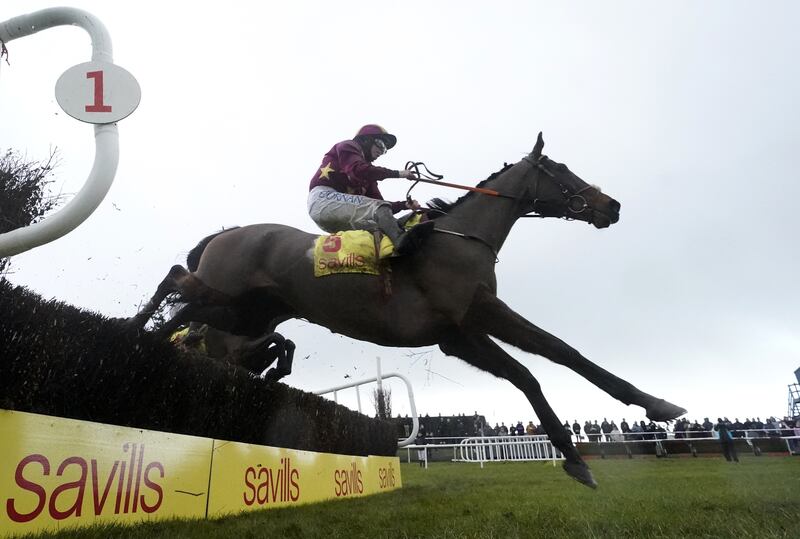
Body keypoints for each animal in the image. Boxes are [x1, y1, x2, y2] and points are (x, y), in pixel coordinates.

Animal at [131, 133, 688, 488]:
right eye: (562, 170)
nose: (611, 206)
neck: (460, 238)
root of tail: (225, 233)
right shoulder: (461, 328)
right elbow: (535, 370)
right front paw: (579, 459)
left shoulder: (477, 317)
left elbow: (558, 354)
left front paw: (656, 406)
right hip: (224, 295)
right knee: (176, 286)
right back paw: (135, 330)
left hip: (246, 313)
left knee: (197, 315)